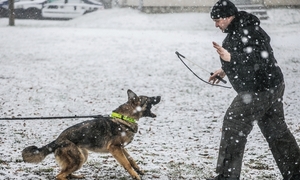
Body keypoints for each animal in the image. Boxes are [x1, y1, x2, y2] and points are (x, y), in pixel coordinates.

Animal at [22, 89, 161, 180]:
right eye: (148, 98)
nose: (159, 96)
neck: (124, 118)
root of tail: (57, 141)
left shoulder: (121, 148)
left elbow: (131, 159)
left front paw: (139, 170)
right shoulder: (115, 148)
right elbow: (126, 163)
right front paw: (135, 175)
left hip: (82, 156)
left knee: (65, 172)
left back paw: (76, 176)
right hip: (78, 158)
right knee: (59, 176)